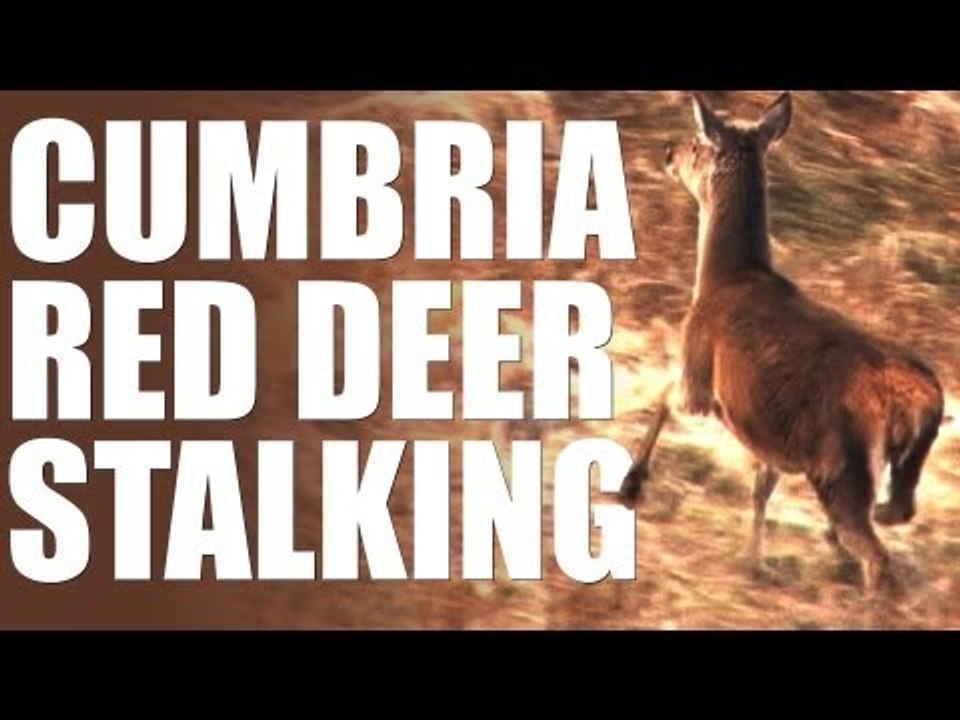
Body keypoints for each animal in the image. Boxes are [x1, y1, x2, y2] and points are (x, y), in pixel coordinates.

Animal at [618, 92, 944, 596]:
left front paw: (630, 486)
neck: (722, 280)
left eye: (698, 143)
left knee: (876, 554)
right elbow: (762, 487)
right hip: (894, 471)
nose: (668, 151)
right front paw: (753, 560)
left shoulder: (699, 371)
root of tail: (925, 400)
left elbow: (665, 398)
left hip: (843, 466)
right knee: (895, 515)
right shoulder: (765, 428)